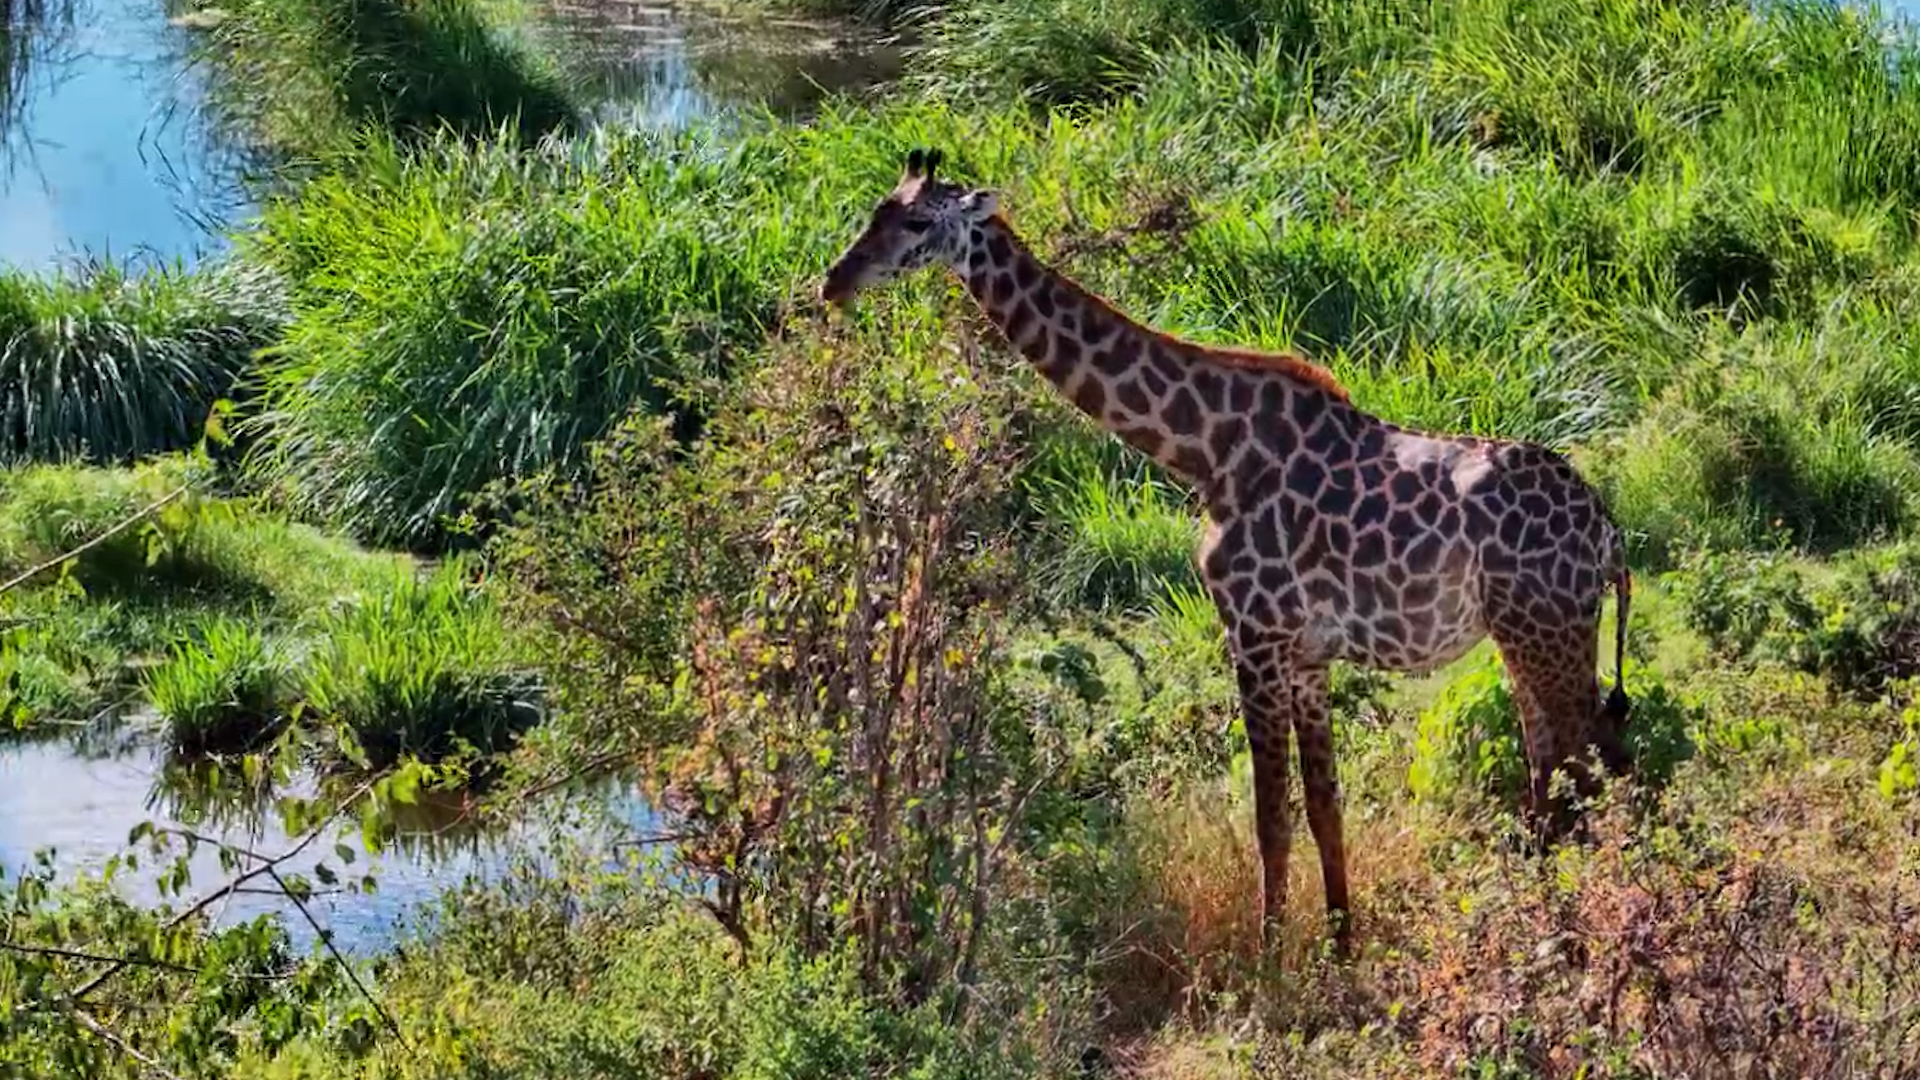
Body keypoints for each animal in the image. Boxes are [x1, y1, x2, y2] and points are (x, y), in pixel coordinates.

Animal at [820, 148, 1634, 955]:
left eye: (917, 223)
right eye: (875, 210)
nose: (835, 281)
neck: (1204, 450)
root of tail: (1607, 530)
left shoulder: (1253, 632)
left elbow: (1270, 816)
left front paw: (1271, 968)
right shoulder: (1304, 653)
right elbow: (1323, 807)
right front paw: (1340, 948)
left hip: (1543, 629)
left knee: (1588, 762)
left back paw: (1571, 928)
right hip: (1526, 634)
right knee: (1555, 764)